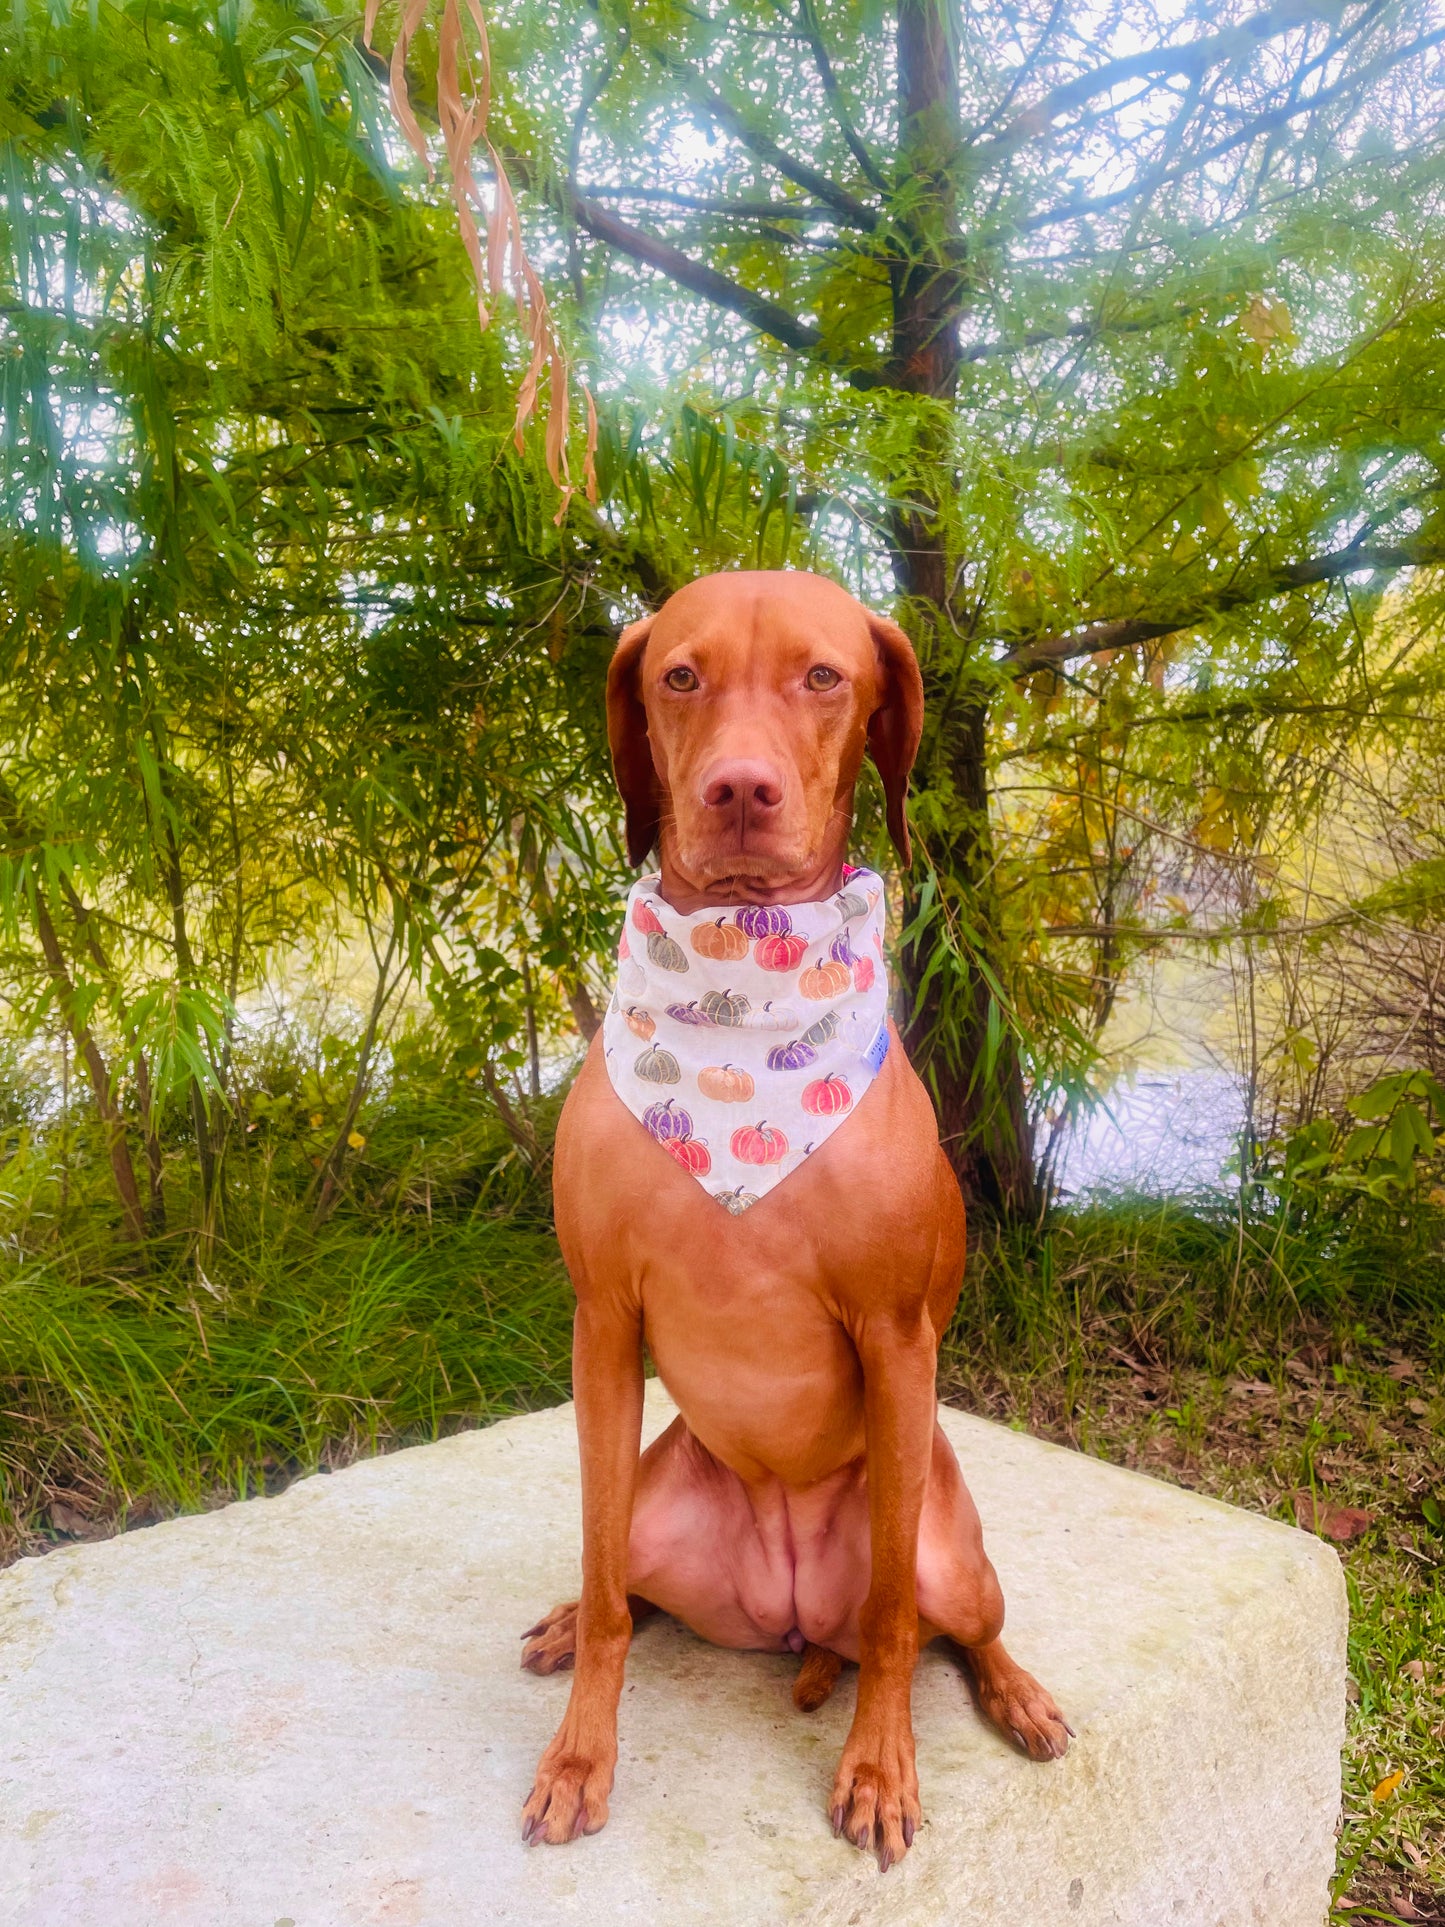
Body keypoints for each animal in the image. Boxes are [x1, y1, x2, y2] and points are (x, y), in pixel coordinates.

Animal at [516, 570, 1063, 1865]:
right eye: (678, 675)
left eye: (823, 677)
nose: (738, 788)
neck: (740, 985)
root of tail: (789, 1618)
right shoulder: (602, 1322)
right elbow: (607, 1592)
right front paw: (581, 1753)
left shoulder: (897, 1336)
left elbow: (897, 1623)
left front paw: (878, 1766)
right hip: (656, 1507)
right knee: (625, 1576)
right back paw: (567, 1620)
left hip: (947, 1546)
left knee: (949, 1622)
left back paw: (1012, 1691)